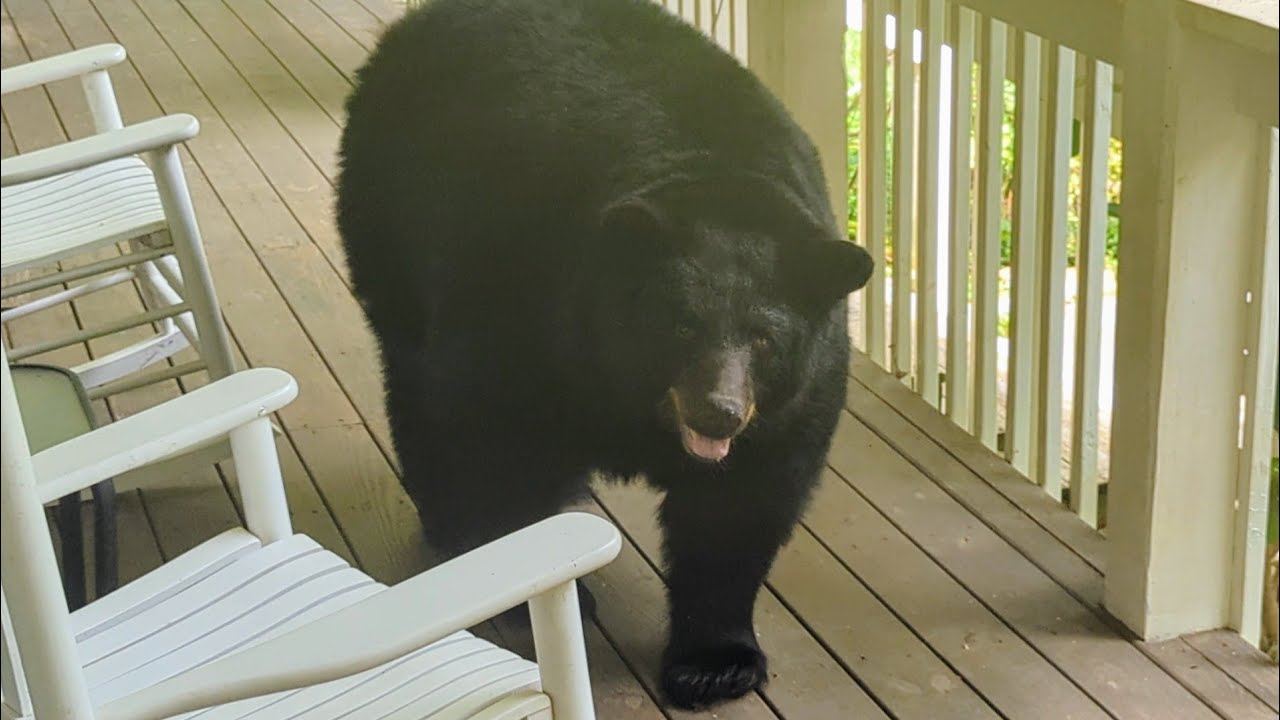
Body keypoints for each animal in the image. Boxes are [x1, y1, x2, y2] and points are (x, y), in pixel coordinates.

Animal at [335, 0, 873, 710]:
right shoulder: (520, 302)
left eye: (764, 338)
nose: (719, 411)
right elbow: (488, 436)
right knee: (415, 384)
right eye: (681, 324)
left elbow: (741, 506)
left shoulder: (793, 402)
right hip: (390, 212)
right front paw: (519, 591)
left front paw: (715, 663)